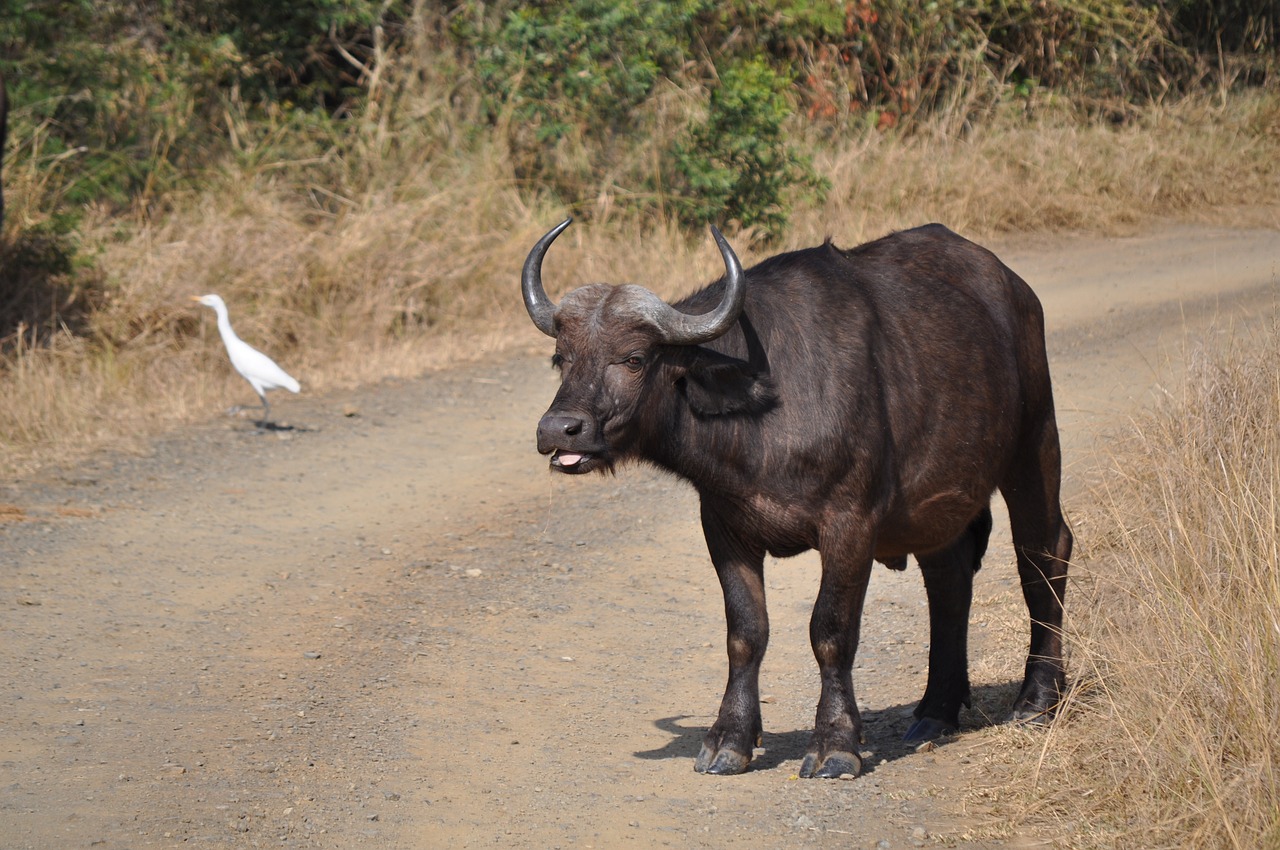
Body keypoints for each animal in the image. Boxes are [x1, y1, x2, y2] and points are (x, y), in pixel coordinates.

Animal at [519, 217, 1070, 778]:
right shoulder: (723, 527)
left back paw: (1036, 698)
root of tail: (1016, 290)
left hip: (1034, 444)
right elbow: (745, 633)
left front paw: (835, 742)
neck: (763, 408)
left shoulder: (851, 525)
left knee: (1043, 552)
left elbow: (831, 631)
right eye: (562, 358)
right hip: (937, 506)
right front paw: (730, 738)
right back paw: (936, 709)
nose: (558, 429)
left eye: (633, 358)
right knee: (949, 578)